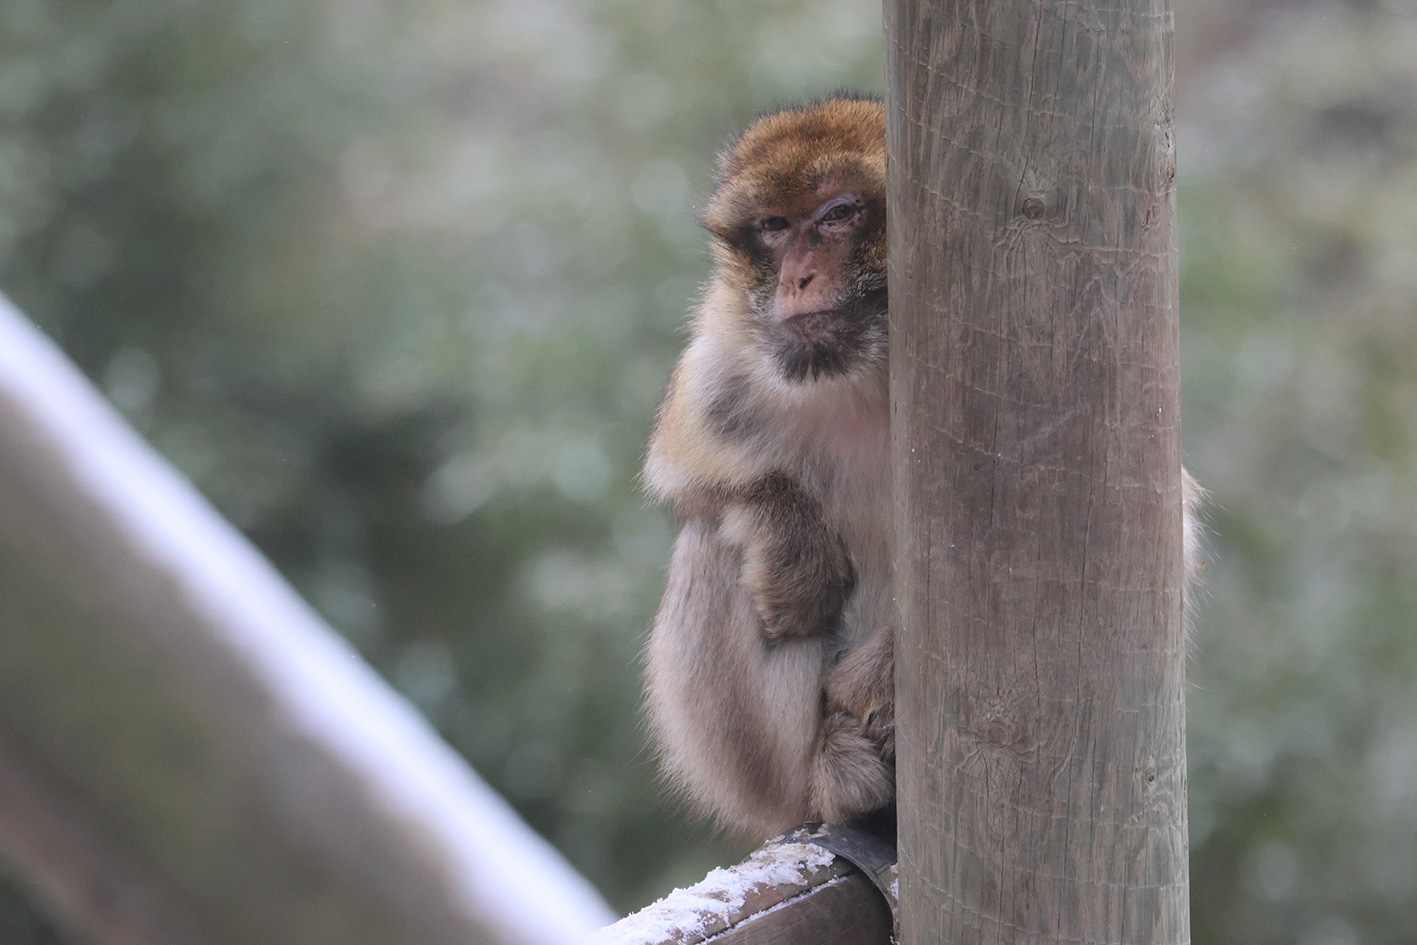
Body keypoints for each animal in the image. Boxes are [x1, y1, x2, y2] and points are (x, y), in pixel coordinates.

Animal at [642, 95, 1203, 838]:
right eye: (774, 226)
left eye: (837, 214)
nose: (796, 278)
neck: (867, 374)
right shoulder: (730, 344)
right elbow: (682, 465)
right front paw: (792, 542)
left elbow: (1155, 547)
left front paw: (877, 671)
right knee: (713, 543)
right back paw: (832, 775)